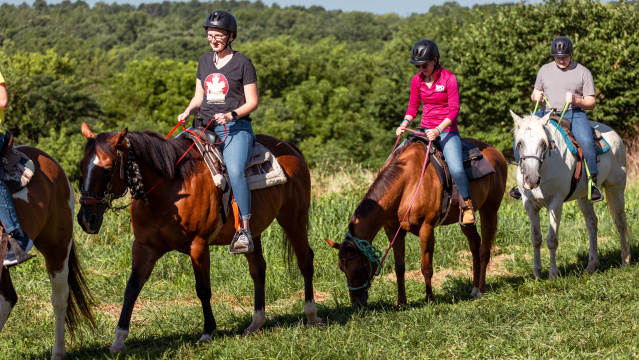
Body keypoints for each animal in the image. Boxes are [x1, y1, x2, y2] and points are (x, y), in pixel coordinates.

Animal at [77, 122, 322, 352]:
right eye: (81, 167)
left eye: (107, 169)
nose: (86, 219)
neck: (169, 190)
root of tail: (290, 148)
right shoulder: (144, 248)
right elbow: (131, 289)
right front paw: (119, 339)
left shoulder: (198, 246)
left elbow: (203, 289)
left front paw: (207, 332)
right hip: (254, 232)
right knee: (258, 269)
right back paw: (256, 323)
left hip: (293, 219)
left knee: (305, 261)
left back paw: (311, 315)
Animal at [328, 138, 508, 306]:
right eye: (341, 269)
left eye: (358, 270)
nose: (357, 304)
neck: (408, 183)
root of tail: (497, 153)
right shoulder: (394, 231)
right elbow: (399, 267)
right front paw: (401, 302)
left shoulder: (426, 229)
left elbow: (426, 267)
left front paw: (430, 299)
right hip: (465, 220)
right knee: (475, 246)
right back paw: (474, 288)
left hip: (489, 210)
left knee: (484, 249)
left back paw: (481, 290)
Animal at [510, 111, 632, 280]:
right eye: (520, 143)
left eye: (543, 143)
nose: (532, 179)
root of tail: (614, 134)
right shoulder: (529, 204)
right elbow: (536, 238)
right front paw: (536, 272)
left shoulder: (556, 203)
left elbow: (552, 239)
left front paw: (553, 274)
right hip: (585, 197)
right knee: (592, 224)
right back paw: (591, 265)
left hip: (616, 188)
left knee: (620, 221)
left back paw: (625, 260)